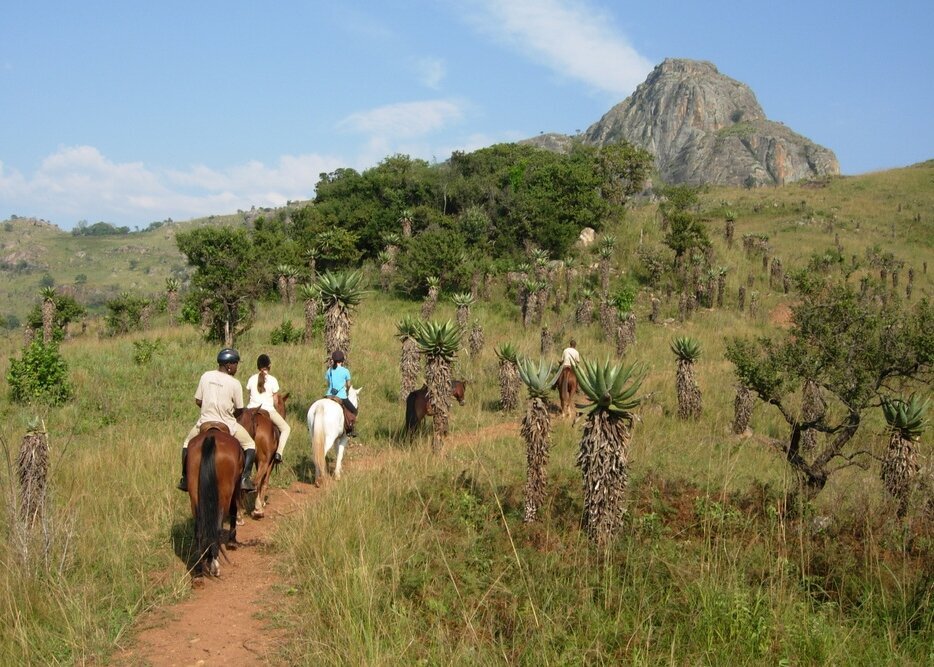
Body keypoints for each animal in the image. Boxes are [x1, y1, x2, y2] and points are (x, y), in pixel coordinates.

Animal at [238, 392, 288, 520]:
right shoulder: (269, 462)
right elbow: (264, 482)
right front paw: (260, 504)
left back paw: (240, 512)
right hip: (264, 461)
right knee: (256, 482)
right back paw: (257, 510)